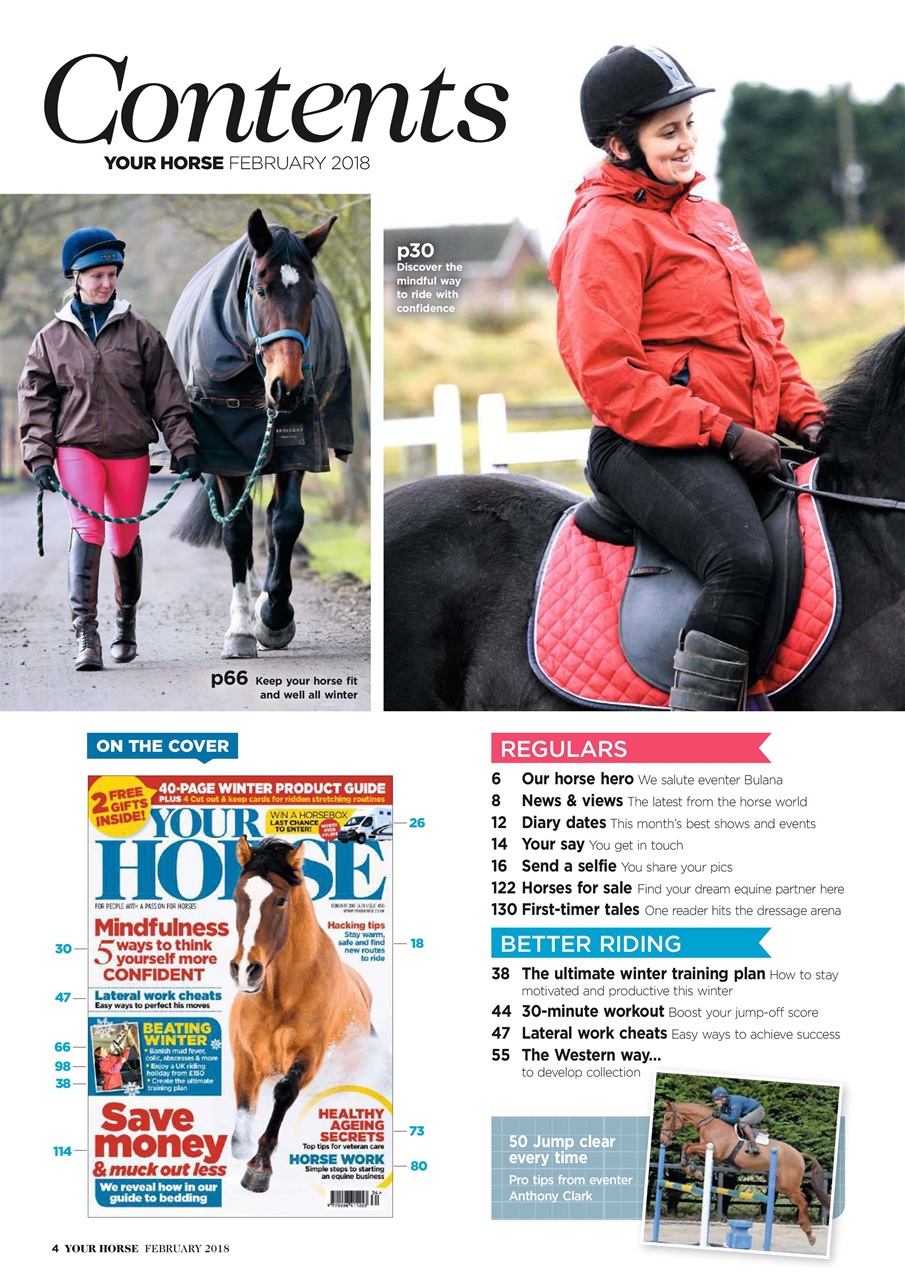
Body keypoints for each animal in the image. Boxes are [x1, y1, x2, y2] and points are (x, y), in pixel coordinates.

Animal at [169, 209, 353, 659]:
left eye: (312, 294)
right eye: (260, 290)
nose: (286, 387)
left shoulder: (298, 445)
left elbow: (285, 520)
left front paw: (275, 616)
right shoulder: (226, 456)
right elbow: (236, 532)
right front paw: (240, 629)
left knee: (267, 518)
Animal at [228, 835, 372, 1193]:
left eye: (281, 901)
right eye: (238, 897)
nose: (246, 971)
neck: (280, 996)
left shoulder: (309, 1055)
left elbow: (284, 1092)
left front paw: (258, 1168)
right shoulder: (246, 1060)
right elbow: (243, 1113)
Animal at [659, 1100, 832, 1246]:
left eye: (668, 1117)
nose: (663, 1140)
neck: (710, 1123)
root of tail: (799, 1154)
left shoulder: (716, 1151)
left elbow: (688, 1147)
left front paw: (693, 1170)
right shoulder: (705, 1147)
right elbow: (687, 1146)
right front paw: (690, 1168)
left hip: (789, 1184)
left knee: (802, 1201)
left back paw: (809, 1234)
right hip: (782, 1185)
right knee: (802, 1198)